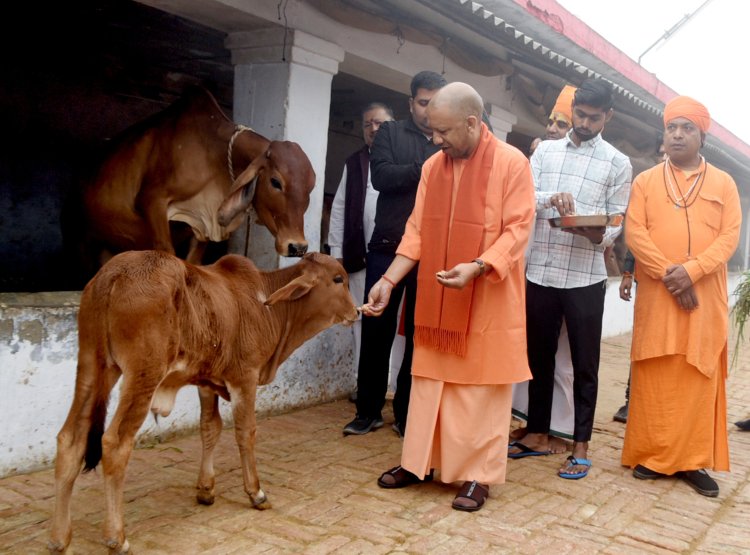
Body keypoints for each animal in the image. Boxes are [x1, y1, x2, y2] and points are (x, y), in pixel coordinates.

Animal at [48, 253, 360, 555]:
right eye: (338, 279)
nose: (357, 312)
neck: (268, 305)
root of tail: (112, 275)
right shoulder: (244, 378)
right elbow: (245, 432)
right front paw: (256, 493)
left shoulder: (207, 382)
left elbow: (210, 428)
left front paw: (206, 489)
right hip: (142, 374)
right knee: (114, 444)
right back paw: (116, 537)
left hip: (92, 367)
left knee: (69, 439)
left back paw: (60, 538)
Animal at [71, 86, 314, 276]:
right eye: (276, 182)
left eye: (311, 187)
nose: (298, 246)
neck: (213, 155)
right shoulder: (152, 201)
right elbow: (166, 254)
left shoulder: (203, 222)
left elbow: (194, 264)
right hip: (83, 240)